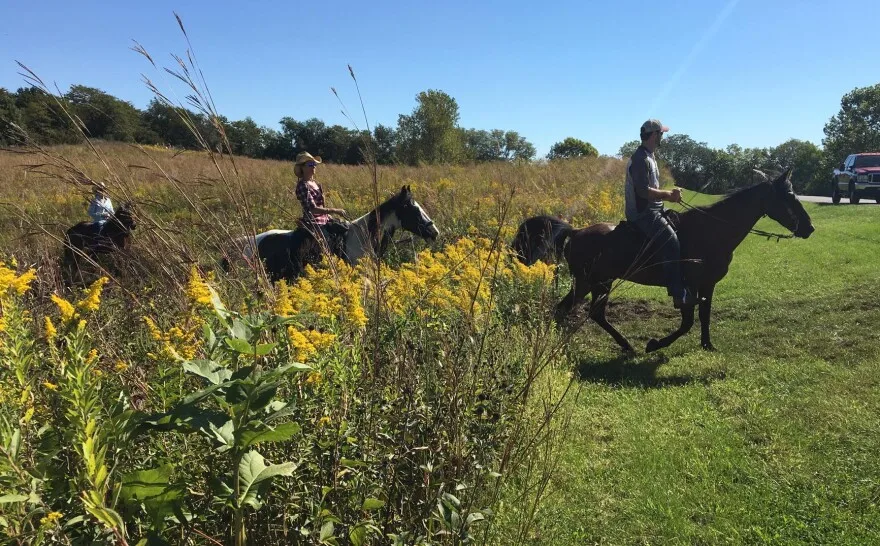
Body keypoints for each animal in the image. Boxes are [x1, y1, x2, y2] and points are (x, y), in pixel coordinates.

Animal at [560, 168, 816, 350]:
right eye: (789, 196)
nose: (809, 228)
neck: (711, 231)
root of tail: (575, 232)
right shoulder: (688, 286)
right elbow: (687, 322)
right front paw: (655, 344)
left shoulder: (707, 284)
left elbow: (704, 315)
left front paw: (707, 344)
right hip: (591, 282)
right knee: (574, 310)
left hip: (599, 282)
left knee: (585, 311)